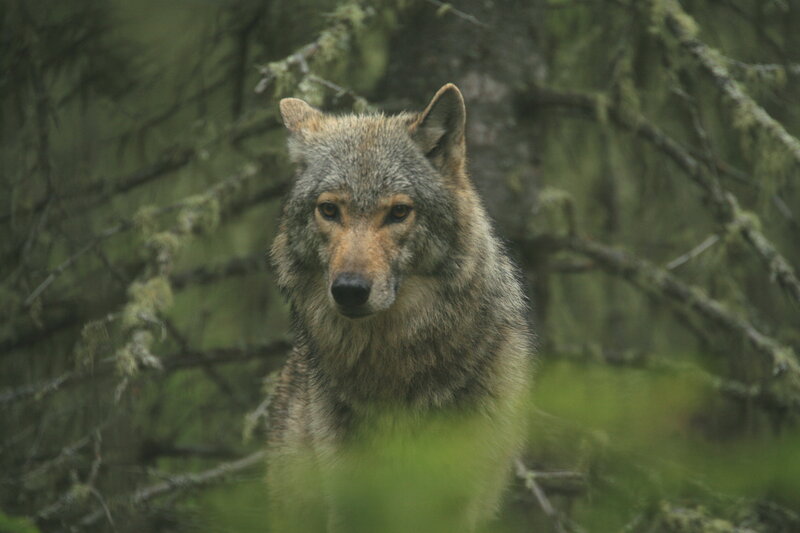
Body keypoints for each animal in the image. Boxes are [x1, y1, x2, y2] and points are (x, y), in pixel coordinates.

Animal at [267, 84, 533, 533]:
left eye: (398, 212)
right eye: (329, 210)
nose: (350, 290)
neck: (394, 369)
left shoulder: (456, 502)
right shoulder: (353, 502)